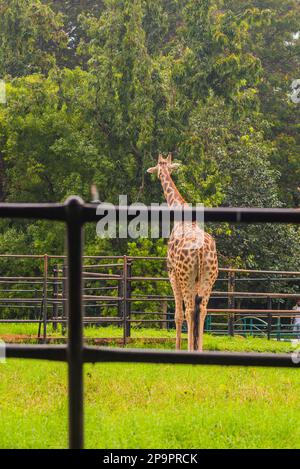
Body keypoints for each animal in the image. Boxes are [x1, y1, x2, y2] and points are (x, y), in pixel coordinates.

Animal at [147, 154, 218, 352]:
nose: (158, 174)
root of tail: (201, 250)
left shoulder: (172, 272)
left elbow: (177, 314)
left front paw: (178, 347)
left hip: (186, 276)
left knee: (189, 310)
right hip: (208, 277)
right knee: (202, 310)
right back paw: (199, 349)